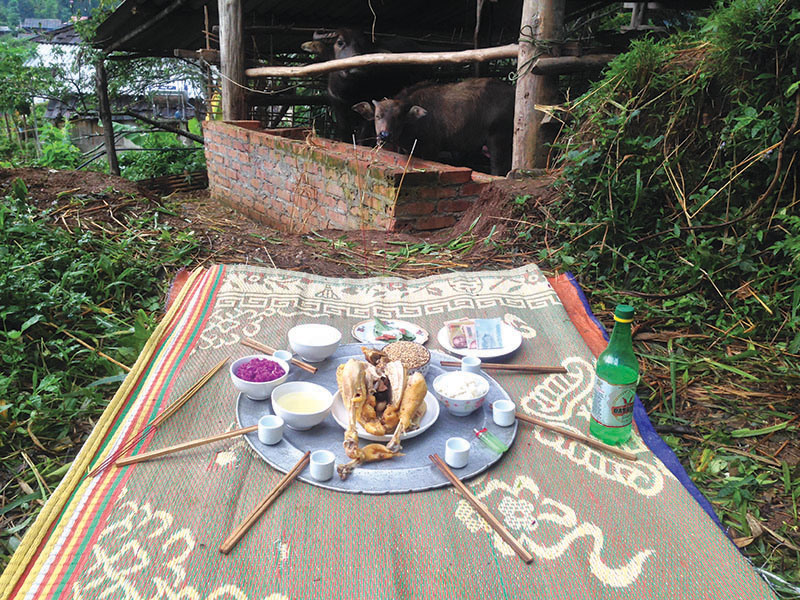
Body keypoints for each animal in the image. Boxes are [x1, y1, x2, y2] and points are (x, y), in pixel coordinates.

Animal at [352, 78, 515, 176]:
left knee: (499, 168)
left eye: (398, 117)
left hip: (498, 140)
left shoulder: (431, 150)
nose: (384, 135)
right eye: (377, 116)